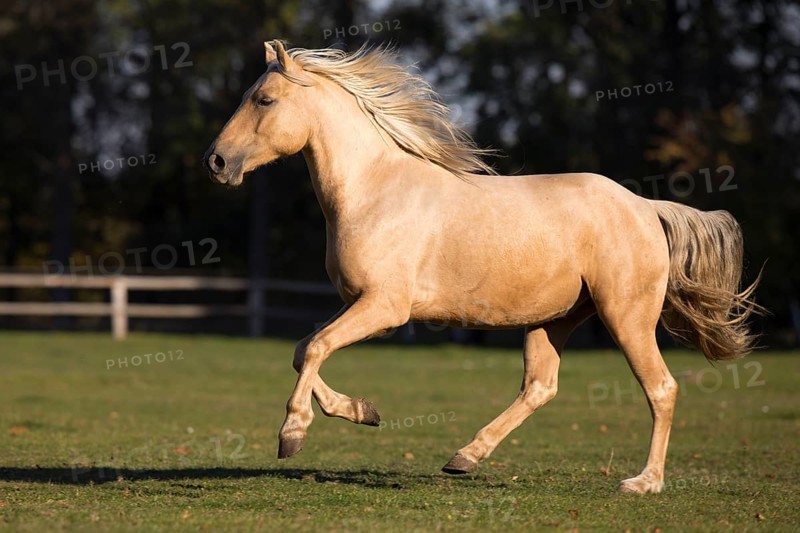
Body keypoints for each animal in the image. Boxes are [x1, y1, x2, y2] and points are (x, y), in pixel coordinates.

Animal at [203, 40, 762, 493]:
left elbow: (316, 348)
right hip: (553, 320)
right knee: (541, 387)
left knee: (661, 388)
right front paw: (364, 412)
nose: (216, 162)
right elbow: (303, 350)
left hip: (625, 317)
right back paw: (465, 457)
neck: (374, 190)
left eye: (264, 99)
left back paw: (644, 483)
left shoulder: (385, 308)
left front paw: (292, 434)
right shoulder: (357, 303)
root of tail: (645, 207)